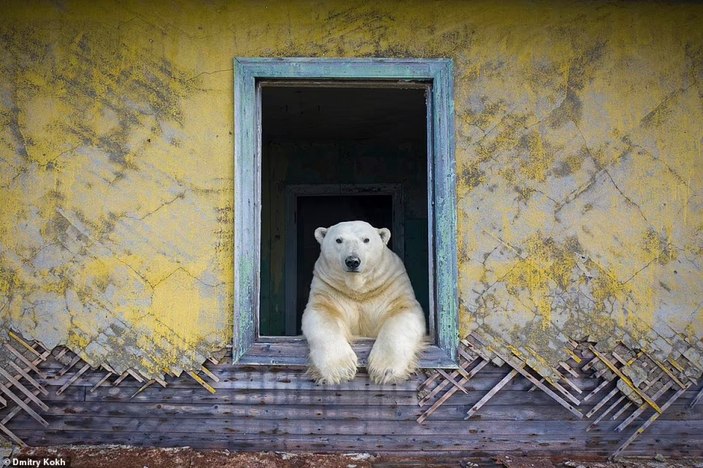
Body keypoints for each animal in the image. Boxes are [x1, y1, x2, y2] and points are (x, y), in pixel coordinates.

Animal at [302, 219, 426, 384]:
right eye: (338, 240)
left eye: (366, 239)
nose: (352, 261)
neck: (359, 290)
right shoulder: (328, 289)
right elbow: (321, 315)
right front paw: (340, 370)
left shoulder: (391, 285)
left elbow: (403, 312)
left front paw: (384, 370)